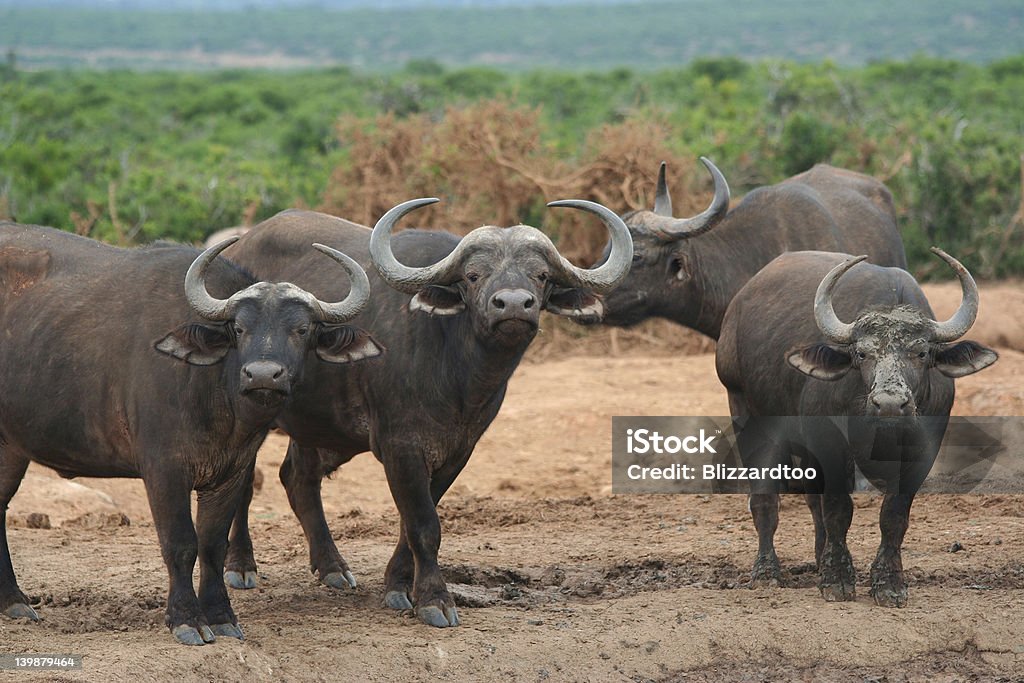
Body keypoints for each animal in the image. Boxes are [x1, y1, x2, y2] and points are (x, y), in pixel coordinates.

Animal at [1, 225, 376, 647]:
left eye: (302, 330)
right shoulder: (164, 470)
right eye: (239, 329)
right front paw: (187, 619)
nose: (263, 375)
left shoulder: (233, 471)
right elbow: (180, 543)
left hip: (10, 449)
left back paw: (13, 601)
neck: (215, 393)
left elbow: (213, 544)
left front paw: (221, 615)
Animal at [222, 196, 630, 626]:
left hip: (315, 425)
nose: (514, 305)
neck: (457, 372)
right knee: (245, 484)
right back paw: (241, 566)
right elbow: (422, 524)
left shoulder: (457, 450)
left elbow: (414, 521)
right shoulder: (400, 447)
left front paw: (400, 585)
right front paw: (435, 599)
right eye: (473, 275)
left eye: (541, 275)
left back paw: (332, 567)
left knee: (298, 478)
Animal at [716, 248, 995, 606]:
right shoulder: (830, 443)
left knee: (812, 499)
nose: (889, 404)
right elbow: (838, 508)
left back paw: (818, 558)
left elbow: (894, 515)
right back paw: (766, 572)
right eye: (862, 353)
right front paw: (837, 579)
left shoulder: (923, 453)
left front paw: (888, 583)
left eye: (921, 352)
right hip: (745, 411)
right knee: (765, 499)